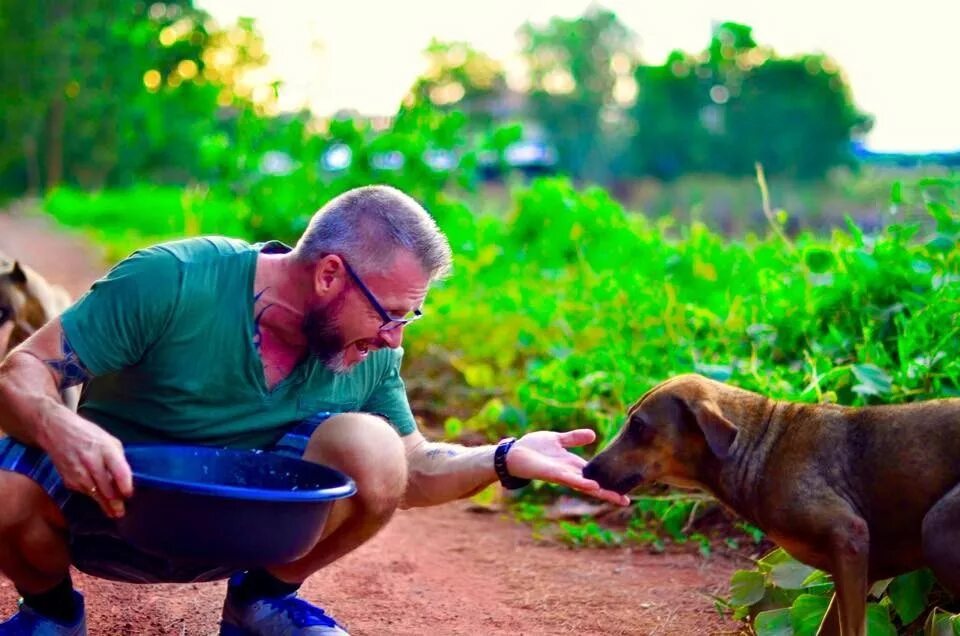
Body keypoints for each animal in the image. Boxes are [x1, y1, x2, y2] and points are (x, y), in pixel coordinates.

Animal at [580, 372, 960, 636]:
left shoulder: (848, 537)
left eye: (638, 425)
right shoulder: (858, 570)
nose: (588, 469)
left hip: (938, 531)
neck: (763, 447)